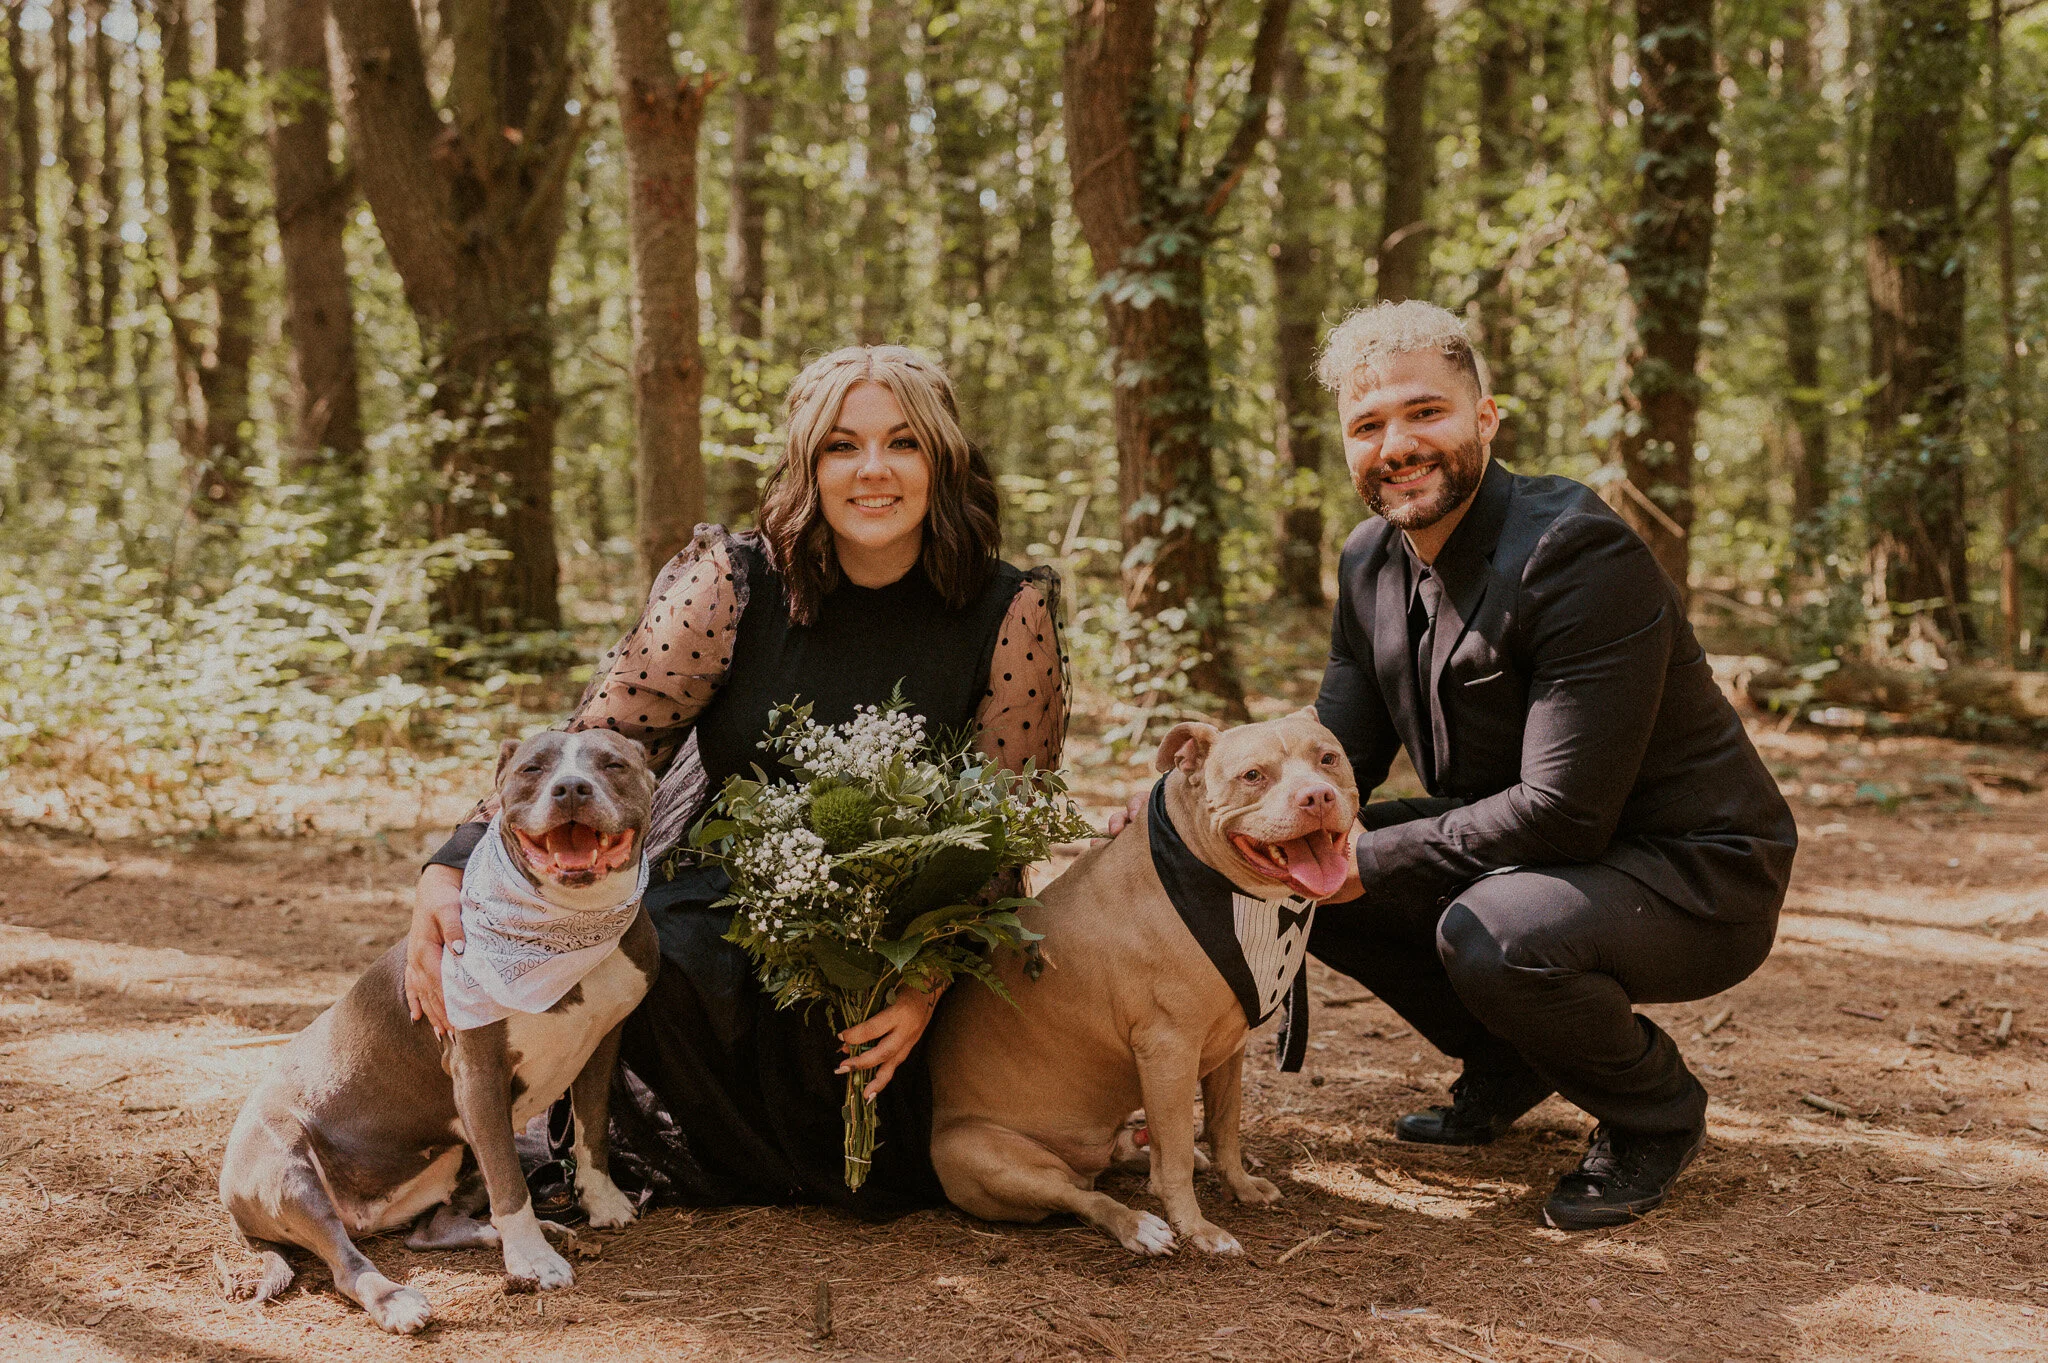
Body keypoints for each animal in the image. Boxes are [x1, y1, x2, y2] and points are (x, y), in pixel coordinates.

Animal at [223, 728, 655, 1334]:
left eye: (613, 764)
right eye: (533, 769)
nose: (571, 787)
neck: (571, 920)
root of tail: (367, 1216)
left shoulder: (601, 1044)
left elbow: (592, 1130)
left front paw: (602, 1202)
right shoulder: (478, 1074)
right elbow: (511, 1187)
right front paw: (533, 1263)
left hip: (465, 1143)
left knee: (432, 1231)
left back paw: (526, 1233)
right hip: (289, 1170)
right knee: (347, 1265)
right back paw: (400, 1299)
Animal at [929, 712, 1359, 1252]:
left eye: (1328, 758)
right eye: (1253, 776)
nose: (1317, 796)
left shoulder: (1230, 1048)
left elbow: (1224, 1127)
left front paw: (1239, 1187)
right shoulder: (1168, 1051)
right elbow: (1174, 1158)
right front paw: (1198, 1230)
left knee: (1113, 1162)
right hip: (979, 1155)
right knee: (1083, 1197)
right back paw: (1138, 1226)